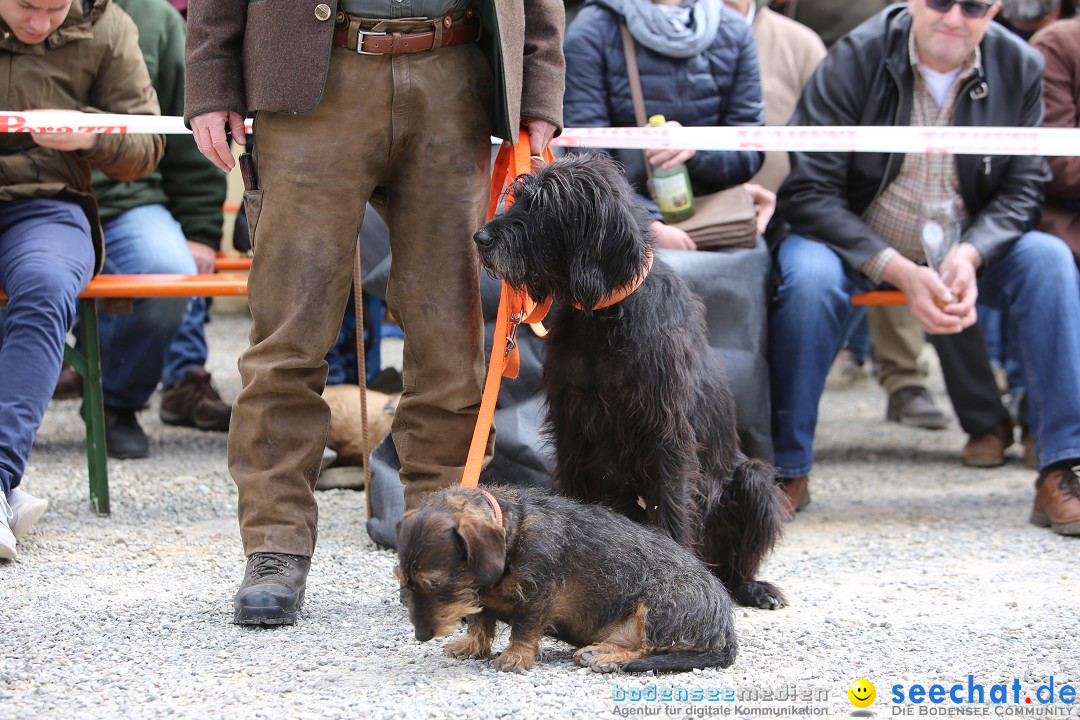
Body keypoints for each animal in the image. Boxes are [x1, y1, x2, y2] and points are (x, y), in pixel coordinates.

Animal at [473, 152, 786, 608]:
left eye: (545, 206)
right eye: (519, 198)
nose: (480, 237)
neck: (606, 316)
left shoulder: (667, 435)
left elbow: (672, 506)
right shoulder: (574, 430)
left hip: (754, 480)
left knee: (732, 560)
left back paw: (751, 586)